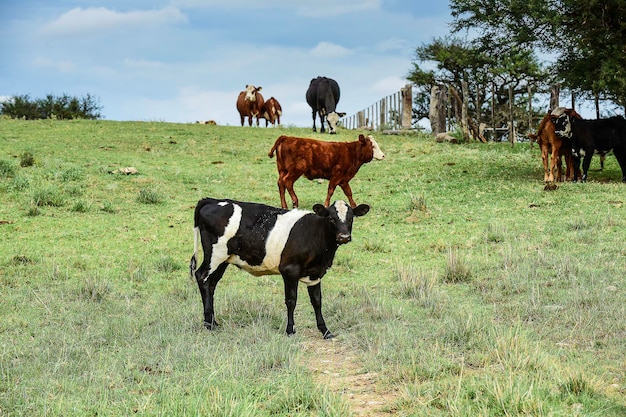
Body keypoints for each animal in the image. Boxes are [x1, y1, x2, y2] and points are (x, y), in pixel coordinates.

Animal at [188, 197, 368, 338]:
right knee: (201, 276)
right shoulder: (289, 270)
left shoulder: (315, 274)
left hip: (223, 260)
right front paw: (290, 331)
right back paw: (208, 325)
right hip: (215, 254)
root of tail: (212, 200)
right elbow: (291, 301)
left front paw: (325, 331)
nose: (344, 237)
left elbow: (317, 301)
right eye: (331, 218)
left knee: (211, 285)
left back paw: (213, 322)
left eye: (351, 218)